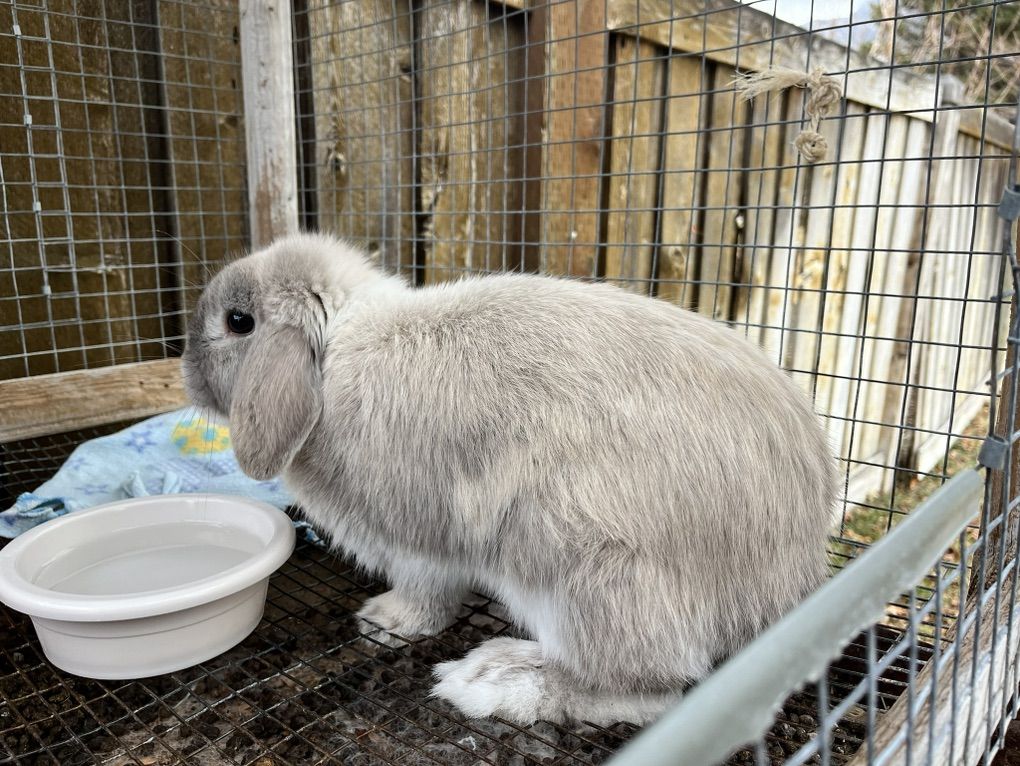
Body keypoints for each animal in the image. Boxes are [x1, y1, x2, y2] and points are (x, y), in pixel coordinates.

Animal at [181, 232, 836, 727]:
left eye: (239, 322)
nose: (184, 368)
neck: (336, 349)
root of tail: (781, 594)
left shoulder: (416, 538)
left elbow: (426, 593)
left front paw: (385, 622)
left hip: (575, 564)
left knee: (647, 690)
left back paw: (490, 678)